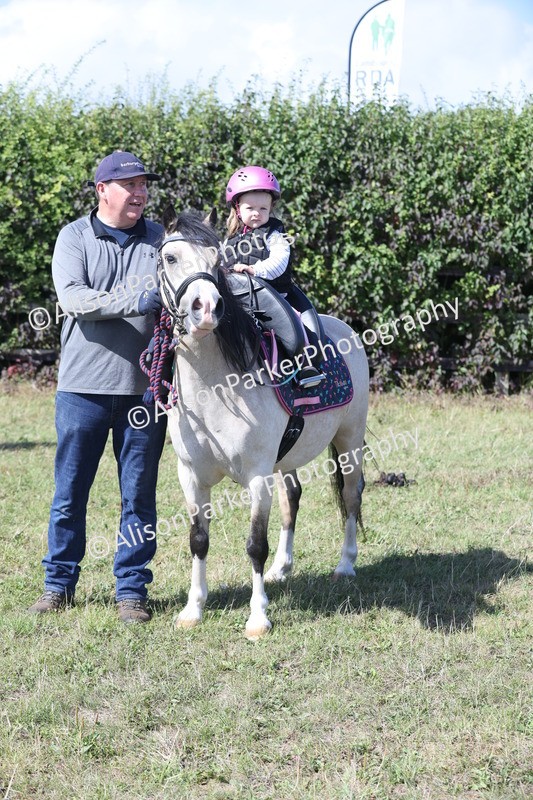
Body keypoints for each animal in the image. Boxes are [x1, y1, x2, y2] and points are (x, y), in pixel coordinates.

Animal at [157, 208, 369, 640]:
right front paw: (193, 609)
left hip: (349, 442)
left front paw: (257, 618)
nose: (206, 307)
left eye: (215, 260)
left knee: (351, 498)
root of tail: (345, 330)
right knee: (294, 498)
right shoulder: (191, 476)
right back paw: (282, 569)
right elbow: (198, 540)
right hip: (287, 459)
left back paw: (345, 564)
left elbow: (255, 543)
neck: (216, 389)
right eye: (170, 258)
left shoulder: (256, 476)